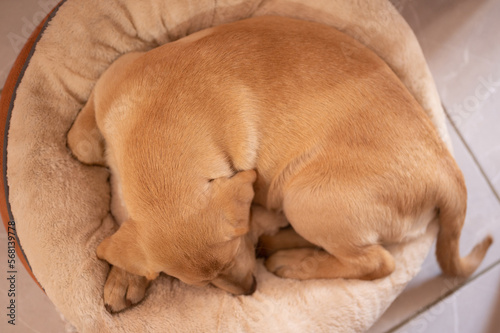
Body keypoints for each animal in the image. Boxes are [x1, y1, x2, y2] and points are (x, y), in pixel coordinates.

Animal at [66, 15, 492, 312]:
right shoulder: (112, 80)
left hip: (307, 196)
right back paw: (279, 246)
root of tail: (448, 171)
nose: (250, 290)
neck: (159, 126)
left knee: (376, 262)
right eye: (199, 286)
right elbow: (82, 145)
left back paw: (292, 262)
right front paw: (126, 277)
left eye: (234, 249)